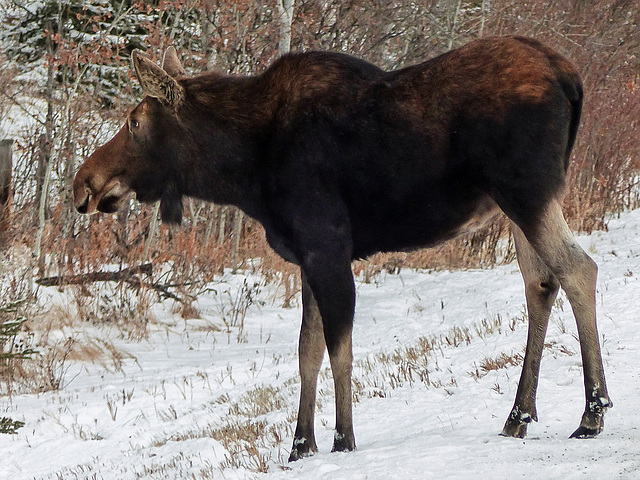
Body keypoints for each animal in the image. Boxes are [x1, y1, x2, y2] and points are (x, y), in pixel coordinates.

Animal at [74, 35, 608, 460]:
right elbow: (307, 350)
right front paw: (300, 445)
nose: (84, 182)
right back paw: (519, 416)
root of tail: (572, 78)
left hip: (526, 190)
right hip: (519, 202)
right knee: (541, 282)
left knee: (579, 268)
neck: (242, 169)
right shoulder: (306, 257)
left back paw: (592, 413)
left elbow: (339, 349)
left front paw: (343, 439)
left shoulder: (327, 247)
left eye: (135, 122)